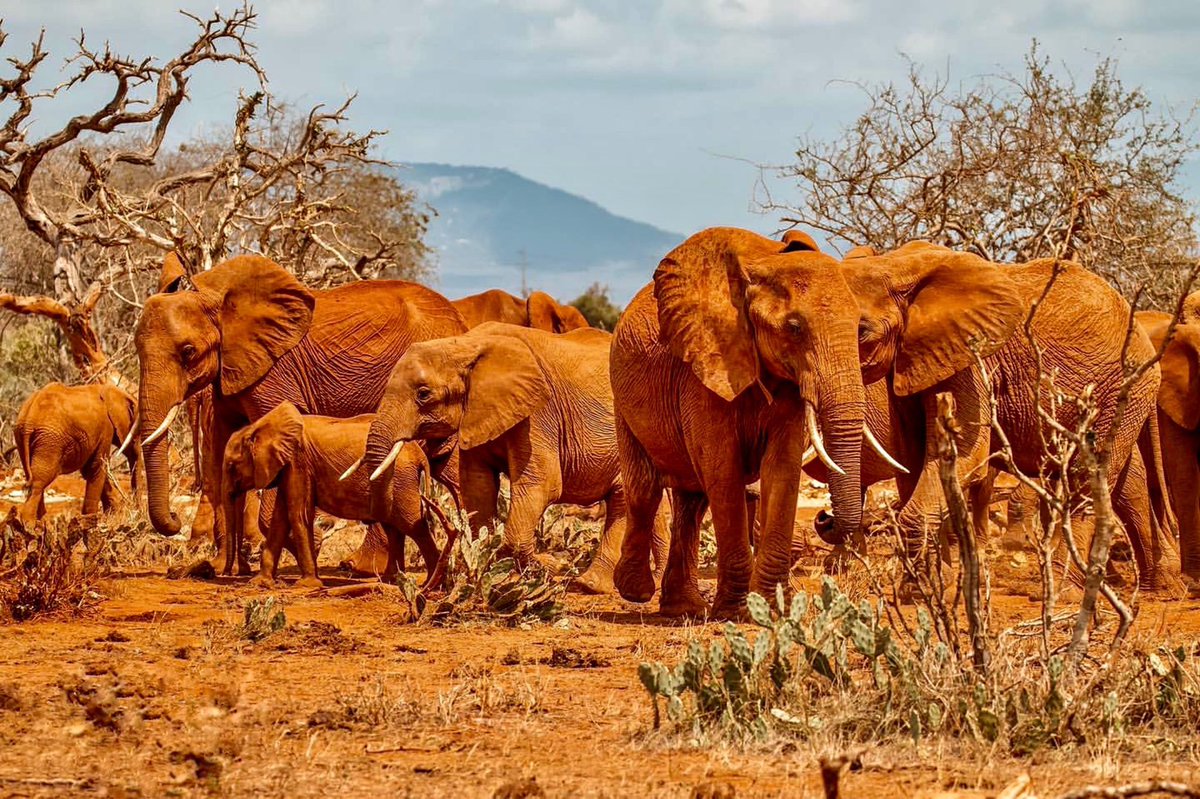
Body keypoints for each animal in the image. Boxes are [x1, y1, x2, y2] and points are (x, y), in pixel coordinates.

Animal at [13, 382, 139, 527]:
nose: (137, 510)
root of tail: (29, 416)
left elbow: (89, 469)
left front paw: (112, 515)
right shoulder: (106, 428)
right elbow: (96, 467)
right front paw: (91, 520)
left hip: (24, 437)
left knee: (33, 474)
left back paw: (40, 522)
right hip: (49, 439)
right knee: (40, 478)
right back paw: (30, 524)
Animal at [222, 402, 439, 589]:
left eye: (232, 466)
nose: (226, 573)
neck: (259, 427)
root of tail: (420, 455)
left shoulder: (298, 463)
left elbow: (298, 515)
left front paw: (307, 585)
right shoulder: (288, 469)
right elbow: (280, 519)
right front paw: (260, 583)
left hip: (401, 481)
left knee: (412, 525)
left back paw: (432, 581)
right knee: (394, 527)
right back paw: (391, 580)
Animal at [358, 321, 667, 593]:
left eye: (423, 394)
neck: (465, 344)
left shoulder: (538, 415)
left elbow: (542, 484)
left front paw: (553, 566)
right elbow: (478, 486)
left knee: (624, 501)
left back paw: (590, 585)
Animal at [608, 227, 875, 619]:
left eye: (860, 329)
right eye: (794, 328)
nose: (824, 516)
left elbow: (781, 469)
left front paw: (772, 608)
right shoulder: (704, 369)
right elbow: (723, 470)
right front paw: (734, 612)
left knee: (691, 501)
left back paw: (683, 608)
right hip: (622, 399)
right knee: (645, 487)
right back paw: (637, 591)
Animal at [812, 241, 1177, 592]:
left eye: (862, 332)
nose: (823, 517)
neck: (896, 266)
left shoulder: (972, 359)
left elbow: (963, 457)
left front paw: (922, 591)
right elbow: (914, 463)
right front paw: (934, 586)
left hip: (1124, 386)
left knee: (1089, 477)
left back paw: (1065, 592)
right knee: (1127, 482)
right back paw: (1160, 585)